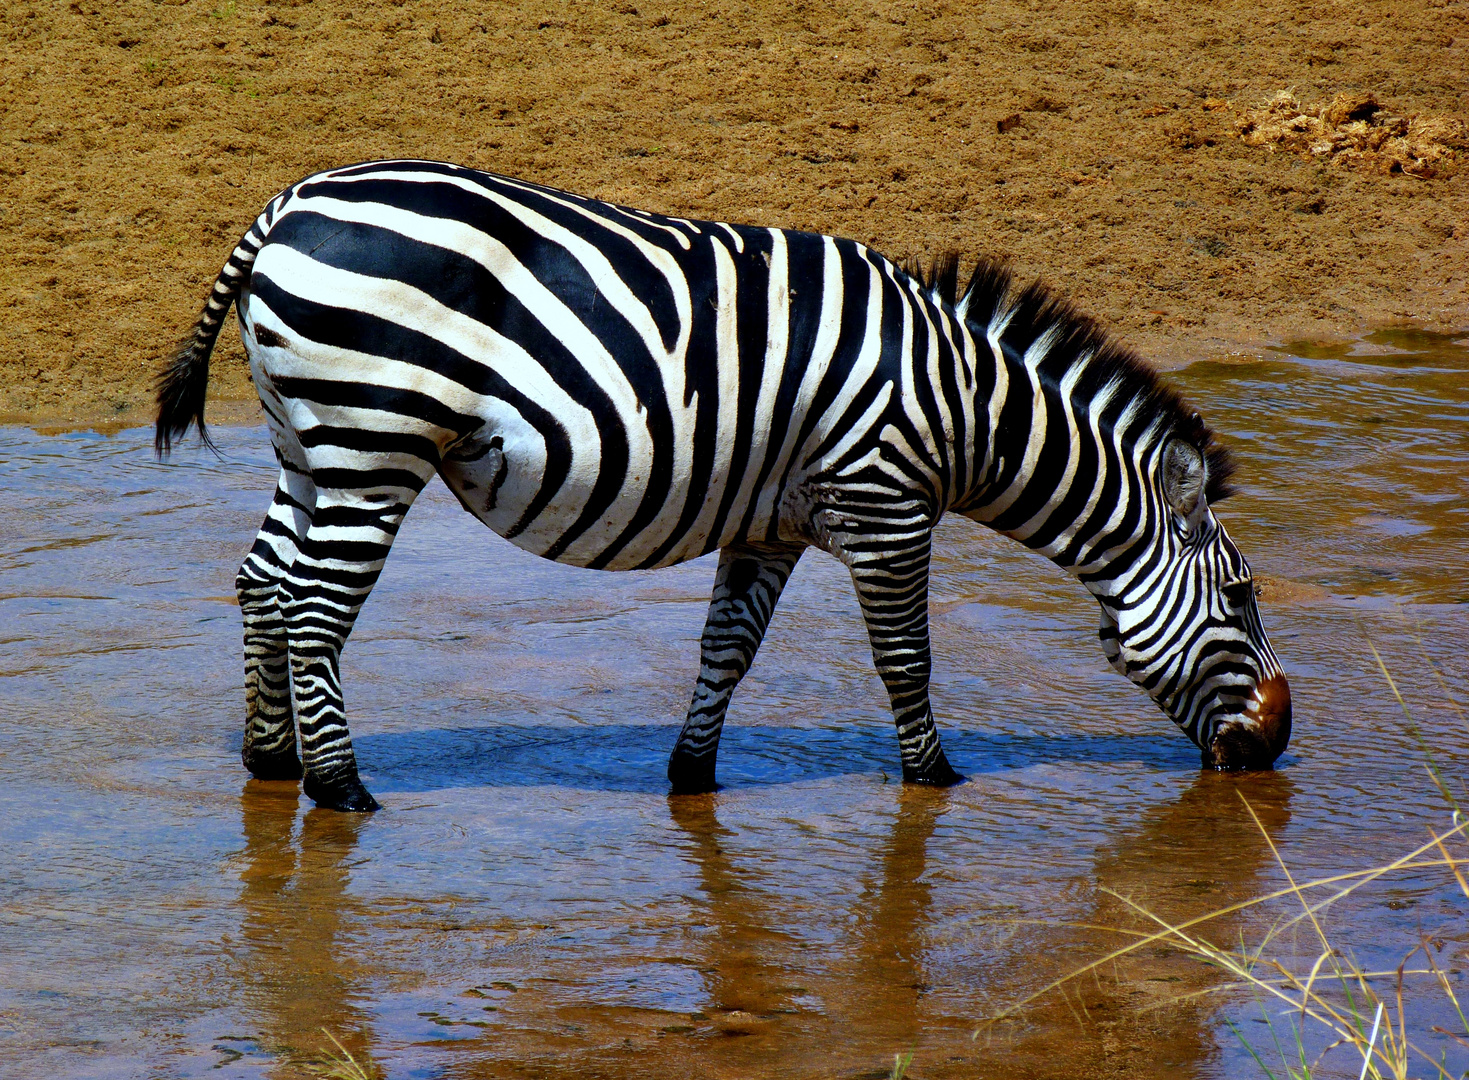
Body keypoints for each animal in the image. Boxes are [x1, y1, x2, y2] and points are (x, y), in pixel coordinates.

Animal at [154, 158, 1292, 811]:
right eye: (1242, 595)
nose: (1280, 746)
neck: (966, 408)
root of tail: (284, 205)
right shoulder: (886, 504)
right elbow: (905, 660)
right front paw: (933, 780)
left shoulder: (771, 523)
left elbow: (726, 651)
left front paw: (691, 777)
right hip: (371, 437)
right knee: (313, 608)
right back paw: (341, 789)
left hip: (306, 441)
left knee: (264, 583)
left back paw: (269, 761)